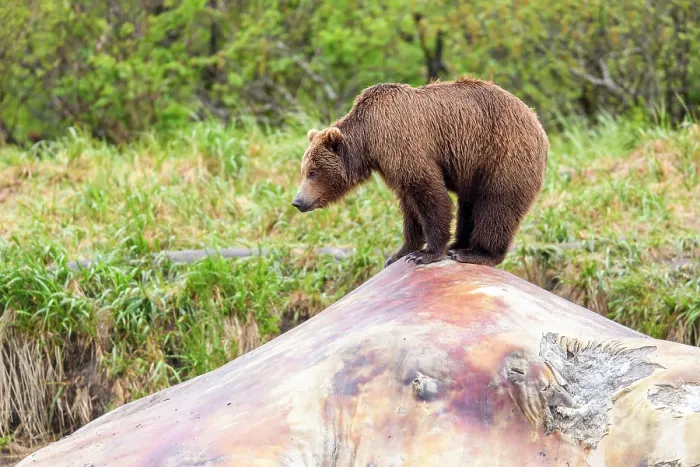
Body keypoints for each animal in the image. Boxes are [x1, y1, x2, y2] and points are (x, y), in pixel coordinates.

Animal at [292, 76, 549, 267]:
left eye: (313, 172)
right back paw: (459, 245)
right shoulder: (391, 164)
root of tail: (537, 123)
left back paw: (475, 253)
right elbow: (409, 205)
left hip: (502, 155)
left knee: (496, 205)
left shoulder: (402, 144)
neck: (368, 139)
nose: (297, 201)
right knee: (469, 204)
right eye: (304, 170)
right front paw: (398, 253)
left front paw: (425, 253)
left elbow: (429, 193)